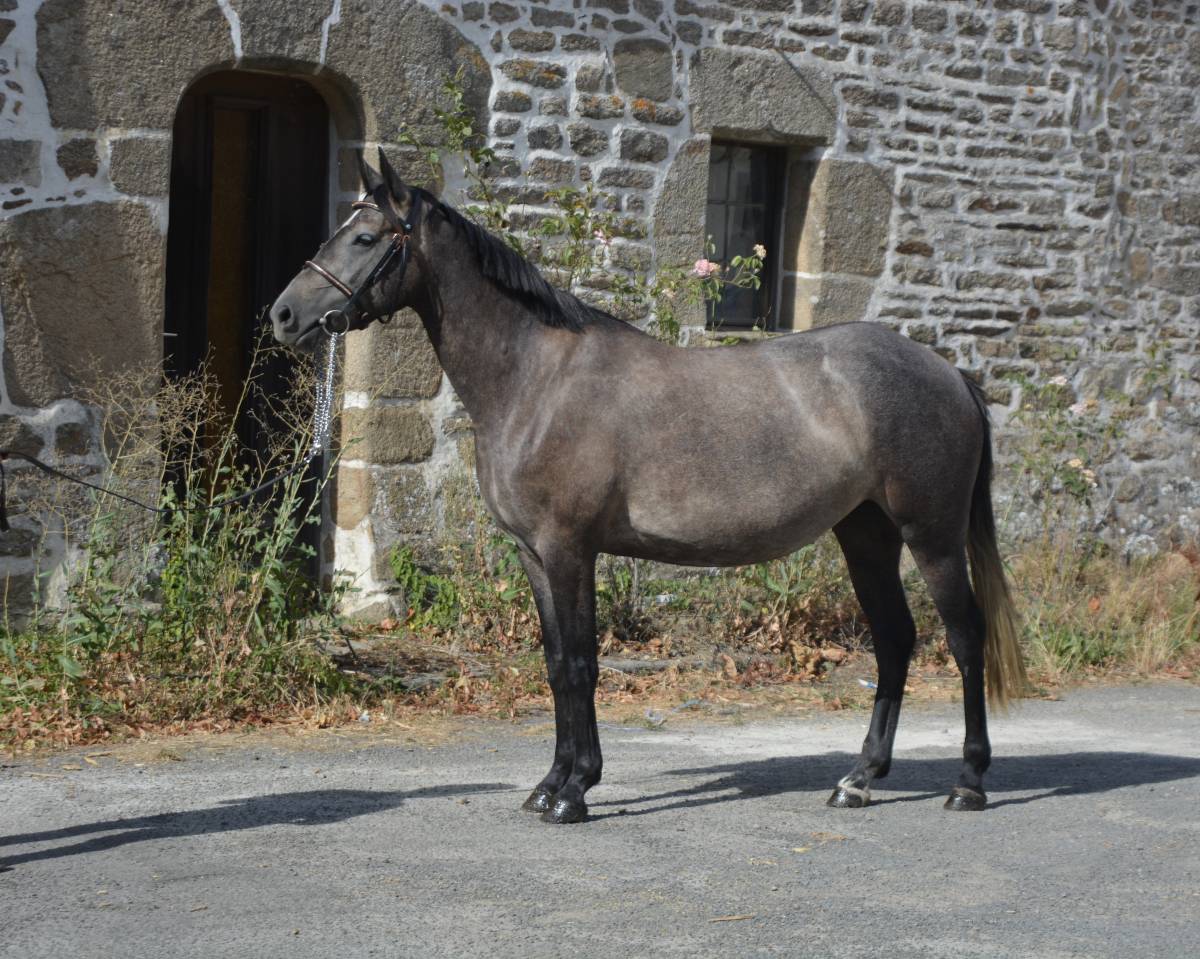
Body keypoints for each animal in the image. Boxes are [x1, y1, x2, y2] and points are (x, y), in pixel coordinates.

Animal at [269, 149, 1027, 824]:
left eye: (365, 237)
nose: (283, 315)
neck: (535, 378)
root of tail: (947, 371)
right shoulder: (534, 555)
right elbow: (555, 663)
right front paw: (550, 784)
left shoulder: (569, 549)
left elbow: (581, 663)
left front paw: (575, 791)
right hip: (865, 534)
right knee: (896, 640)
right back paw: (859, 779)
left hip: (931, 537)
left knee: (964, 639)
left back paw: (968, 783)